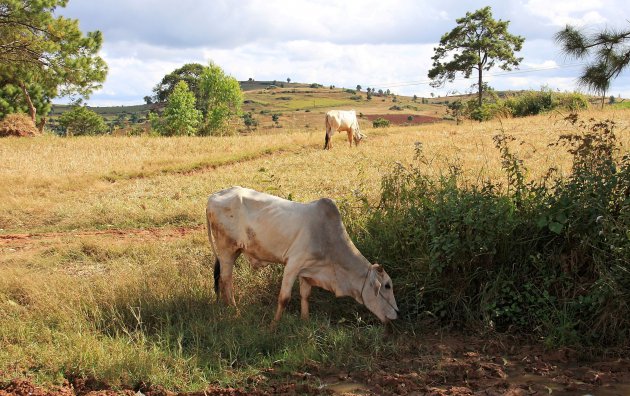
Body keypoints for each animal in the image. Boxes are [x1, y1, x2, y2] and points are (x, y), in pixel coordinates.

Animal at [207, 186, 400, 324]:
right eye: (387, 286)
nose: (397, 313)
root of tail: (214, 196)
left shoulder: (307, 269)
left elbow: (305, 295)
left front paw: (305, 320)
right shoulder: (293, 265)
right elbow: (284, 298)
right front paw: (273, 326)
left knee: (223, 279)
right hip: (226, 249)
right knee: (226, 279)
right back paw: (234, 310)